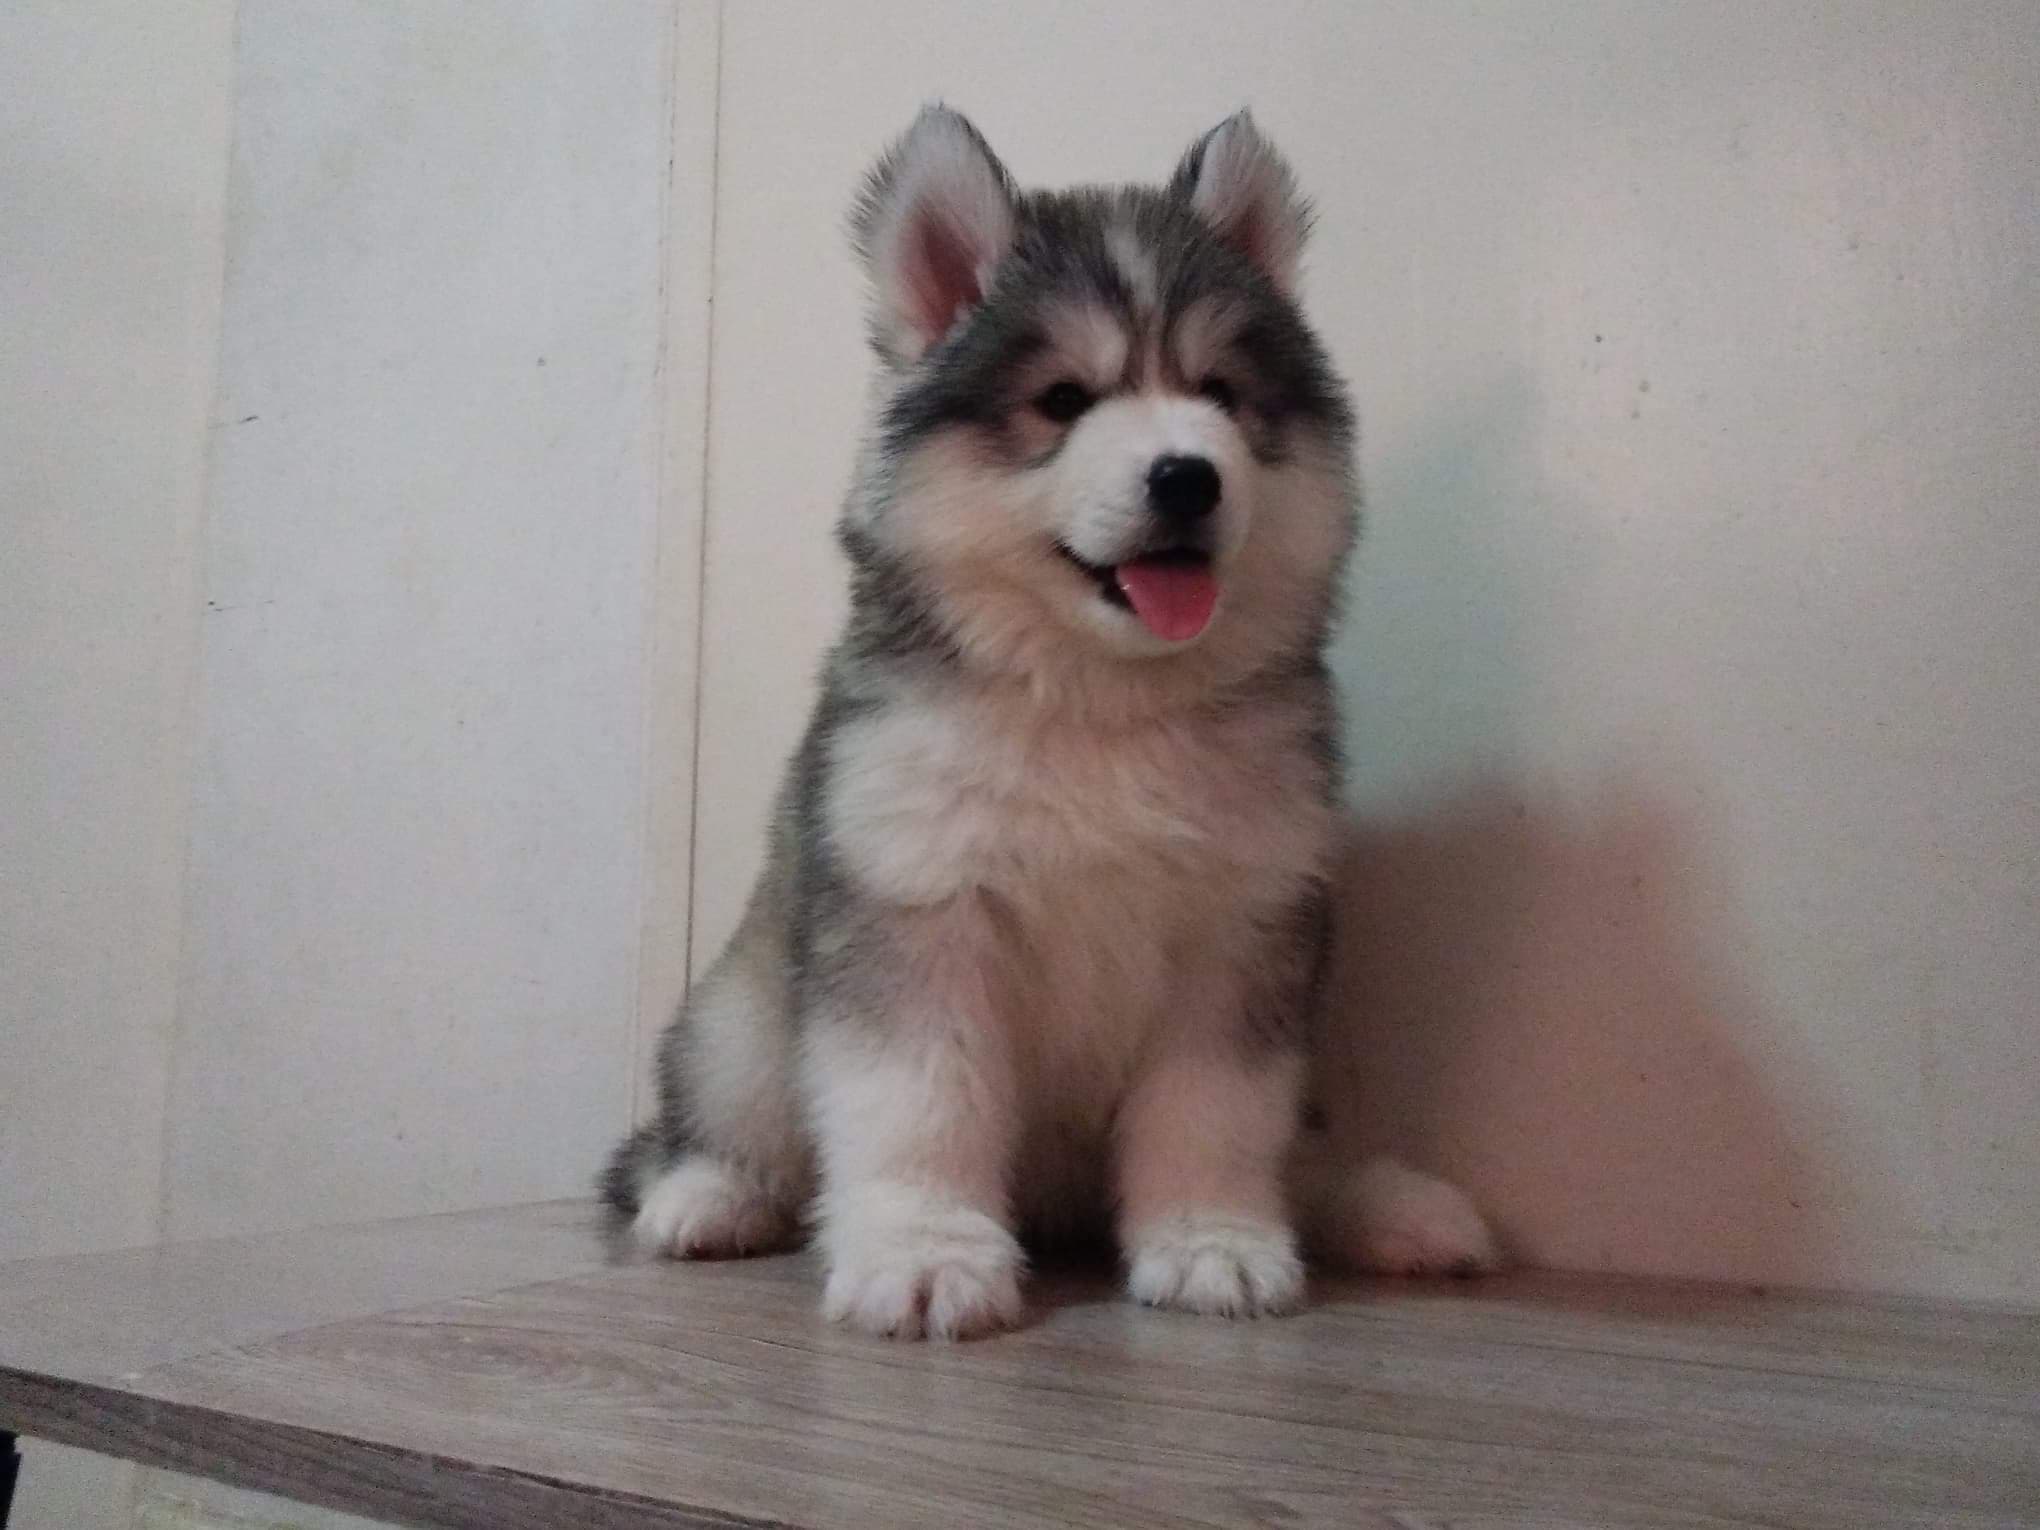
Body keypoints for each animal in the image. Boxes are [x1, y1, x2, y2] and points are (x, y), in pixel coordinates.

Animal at [603, 106, 1495, 1339]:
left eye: (1220, 394)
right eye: (1065, 401)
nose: (1188, 477)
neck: (1099, 705)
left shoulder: (1242, 931)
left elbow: (1217, 1112)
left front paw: (1211, 1238)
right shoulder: (919, 911)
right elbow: (921, 1099)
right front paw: (925, 1249)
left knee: (1299, 1156)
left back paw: (1389, 1206)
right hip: (744, 1016)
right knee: (718, 1126)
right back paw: (710, 1197)